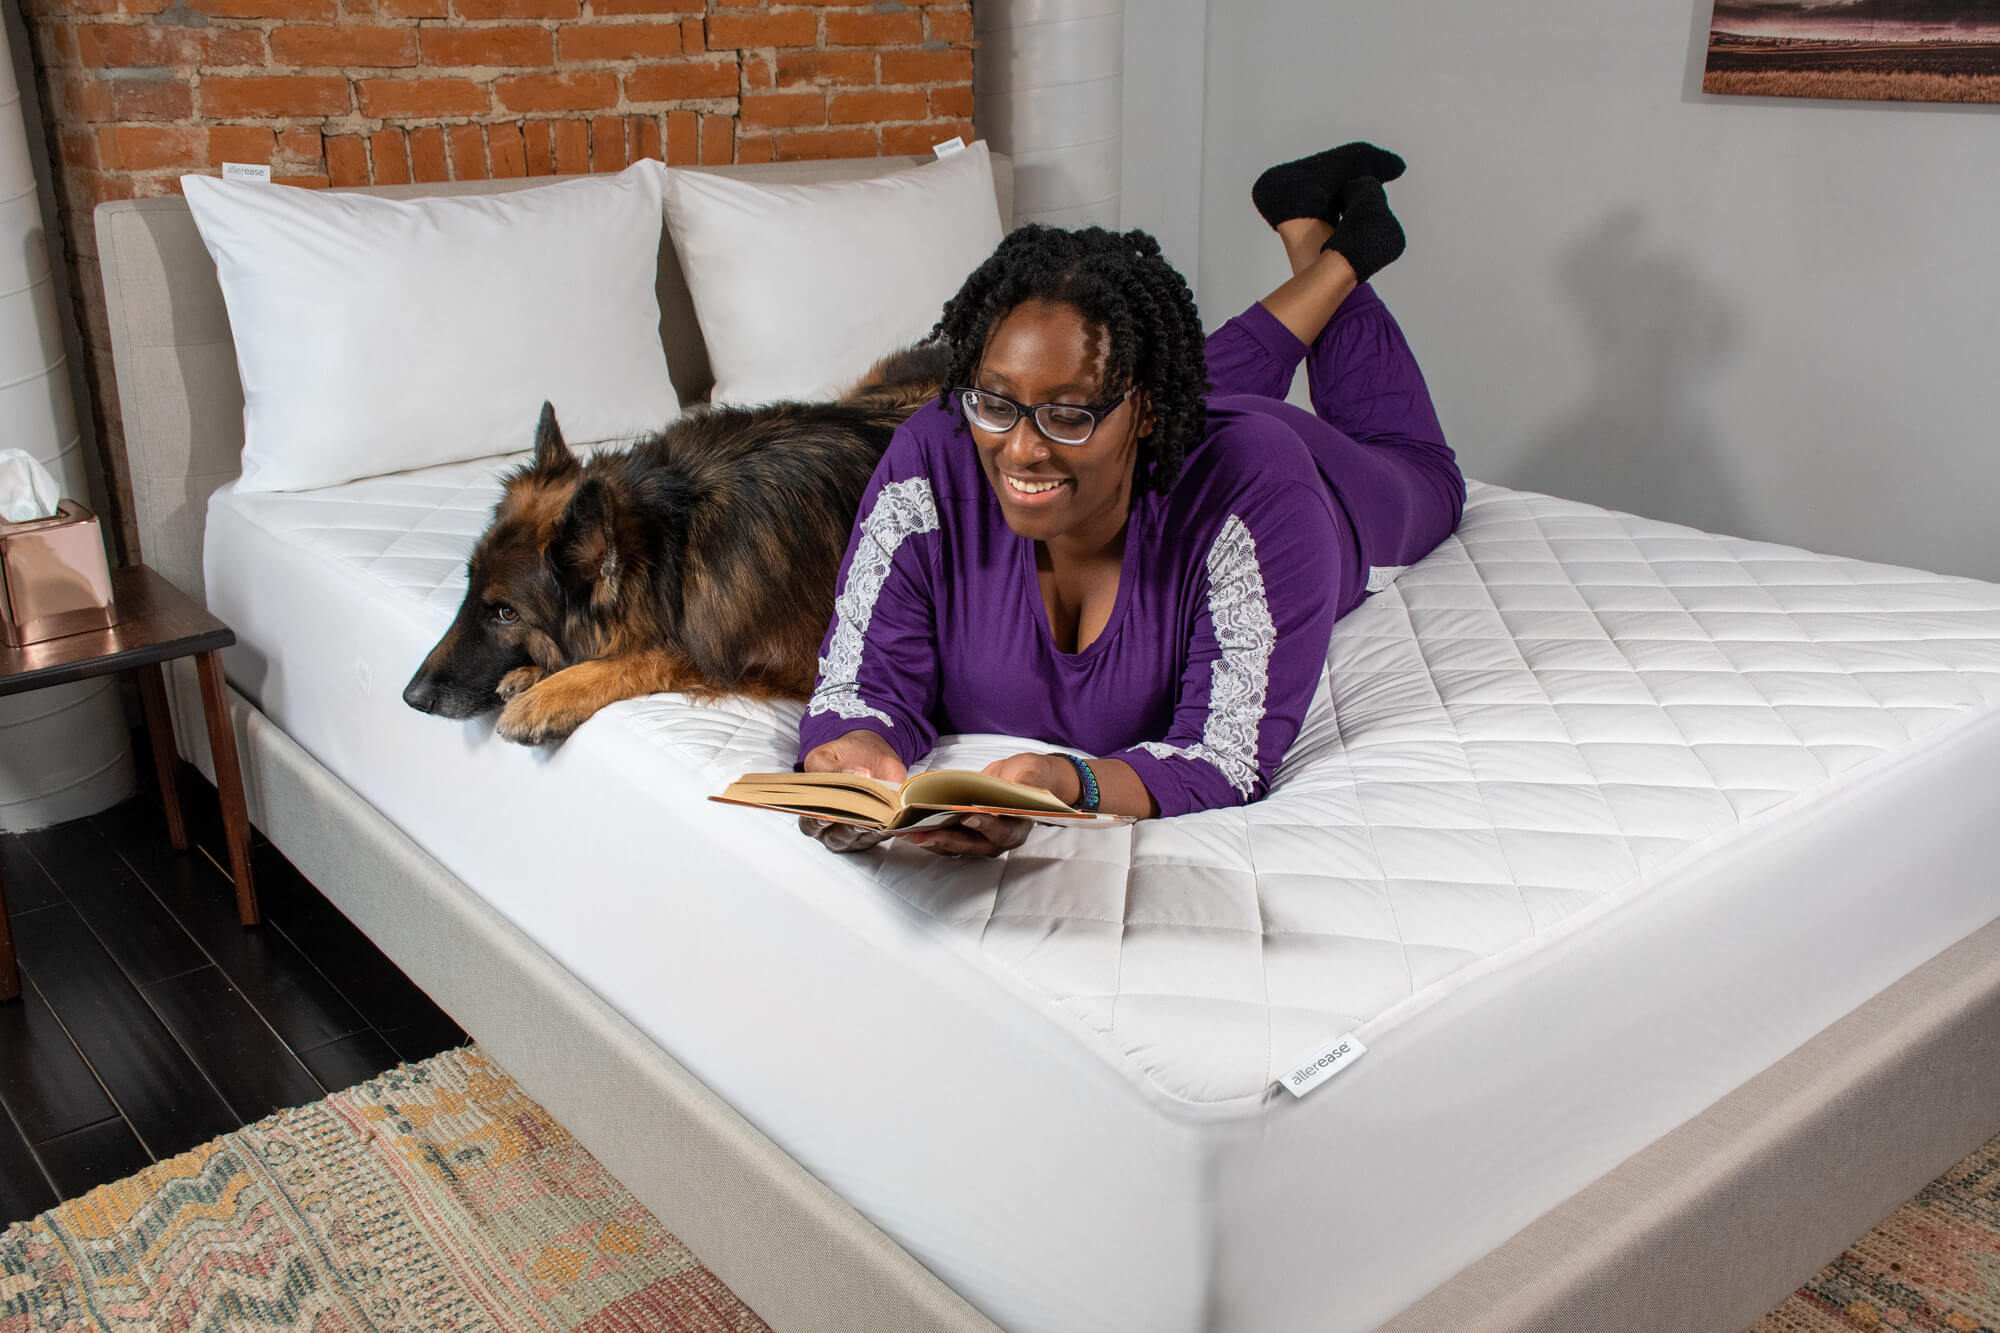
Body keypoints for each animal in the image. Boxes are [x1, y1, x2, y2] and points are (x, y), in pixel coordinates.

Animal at [402, 348, 948, 740]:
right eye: (470, 588)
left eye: (506, 613)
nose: (410, 698)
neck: (676, 538)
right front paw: (533, 673)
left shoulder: (784, 657)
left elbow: (668, 653)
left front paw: (554, 690)